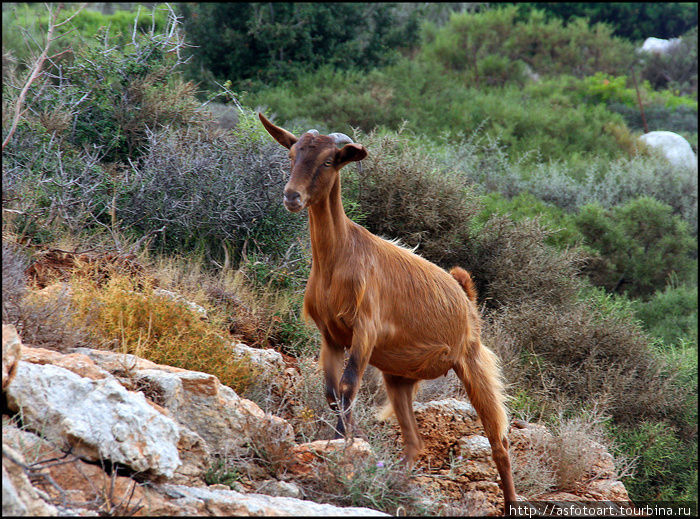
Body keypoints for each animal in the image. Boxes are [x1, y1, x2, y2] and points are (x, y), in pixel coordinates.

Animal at [260, 111, 516, 506]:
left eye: (329, 161)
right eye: (292, 154)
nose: (292, 196)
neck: (340, 257)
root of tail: (465, 295)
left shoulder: (365, 331)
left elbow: (348, 386)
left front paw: (344, 445)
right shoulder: (330, 336)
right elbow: (332, 393)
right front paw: (340, 442)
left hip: (473, 363)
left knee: (499, 442)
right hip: (399, 378)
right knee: (414, 442)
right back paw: (395, 483)